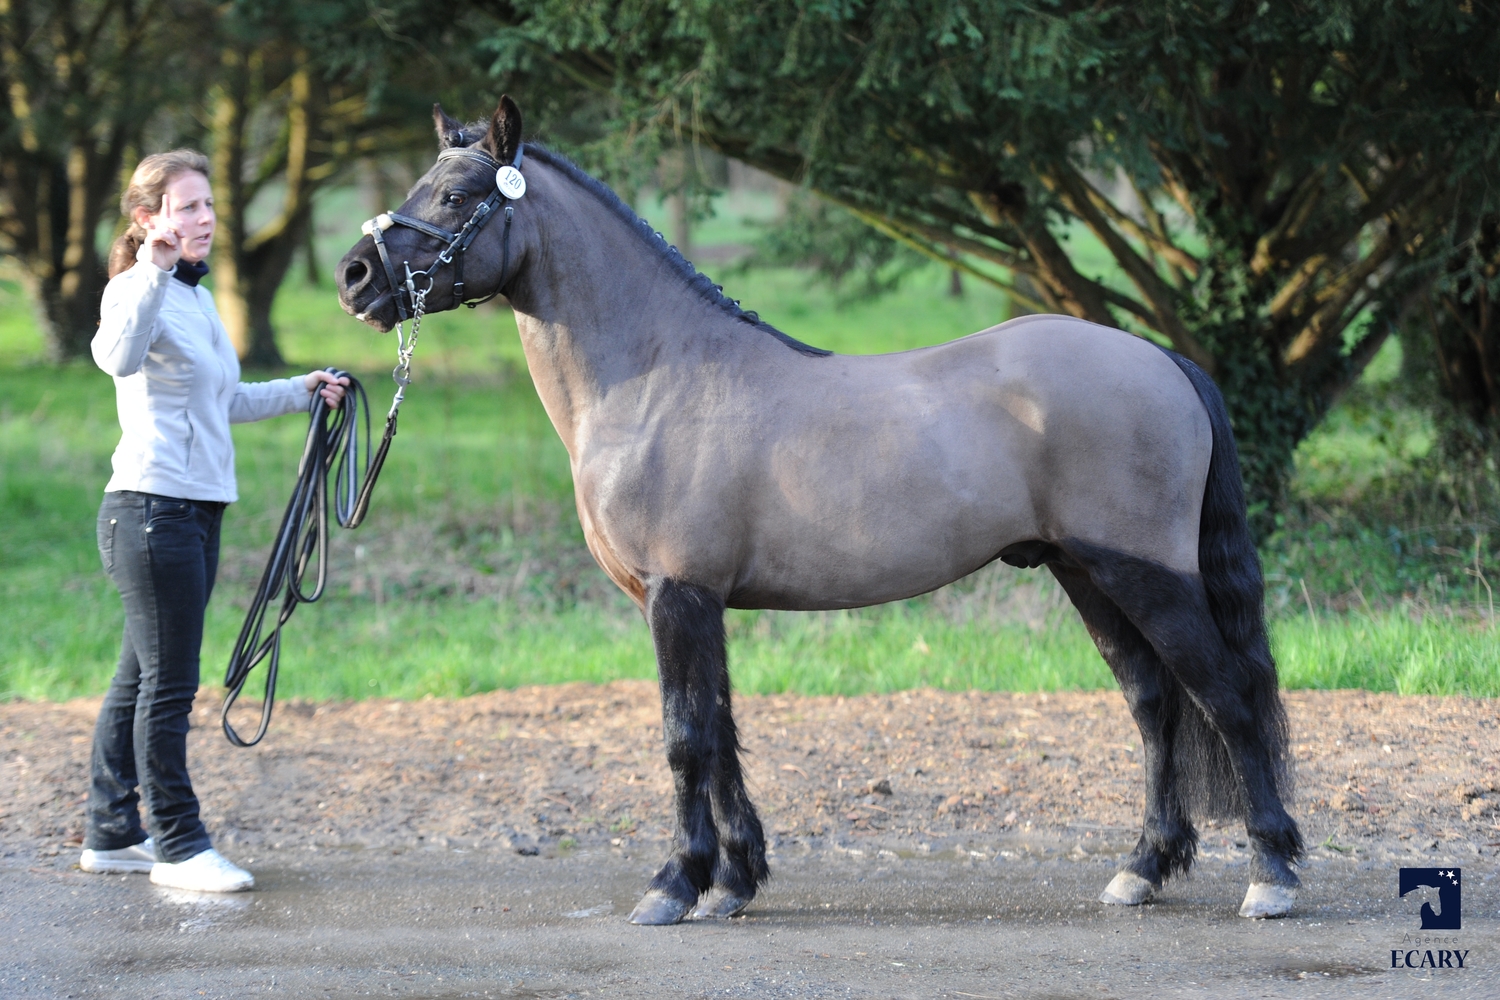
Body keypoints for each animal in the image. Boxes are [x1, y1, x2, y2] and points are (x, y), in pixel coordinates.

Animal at [337, 97, 1302, 929]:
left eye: (455, 195)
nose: (355, 278)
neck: (657, 378)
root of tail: (1161, 358)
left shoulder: (678, 596)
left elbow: (686, 737)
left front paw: (673, 886)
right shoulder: (701, 603)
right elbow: (722, 734)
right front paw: (733, 882)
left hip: (1147, 575)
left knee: (1227, 697)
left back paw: (1271, 875)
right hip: (1085, 573)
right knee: (1155, 704)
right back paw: (1142, 869)